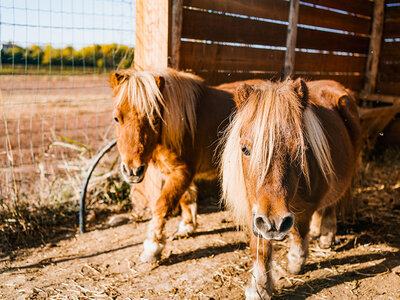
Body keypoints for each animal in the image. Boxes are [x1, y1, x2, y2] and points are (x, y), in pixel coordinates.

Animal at [109, 68, 236, 262]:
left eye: (154, 120)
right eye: (116, 118)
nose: (133, 171)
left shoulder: (182, 172)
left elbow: (163, 205)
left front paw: (153, 247)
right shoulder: (176, 173)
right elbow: (186, 198)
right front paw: (187, 227)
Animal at [220, 78, 360, 298]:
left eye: (300, 149)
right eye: (244, 149)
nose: (274, 223)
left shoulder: (305, 206)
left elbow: (299, 231)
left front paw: (296, 262)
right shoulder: (255, 210)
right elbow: (260, 247)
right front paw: (260, 287)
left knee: (332, 204)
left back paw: (326, 235)